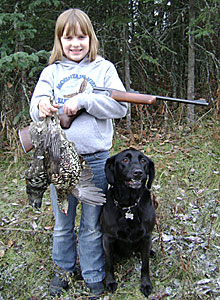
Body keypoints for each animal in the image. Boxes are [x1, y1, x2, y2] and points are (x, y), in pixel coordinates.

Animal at [100, 148, 156, 298]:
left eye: (143, 161)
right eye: (125, 160)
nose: (138, 172)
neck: (129, 205)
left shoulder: (147, 236)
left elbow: (145, 265)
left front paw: (146, 284)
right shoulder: (107, 238)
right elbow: (108, 264)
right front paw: (110, 282)